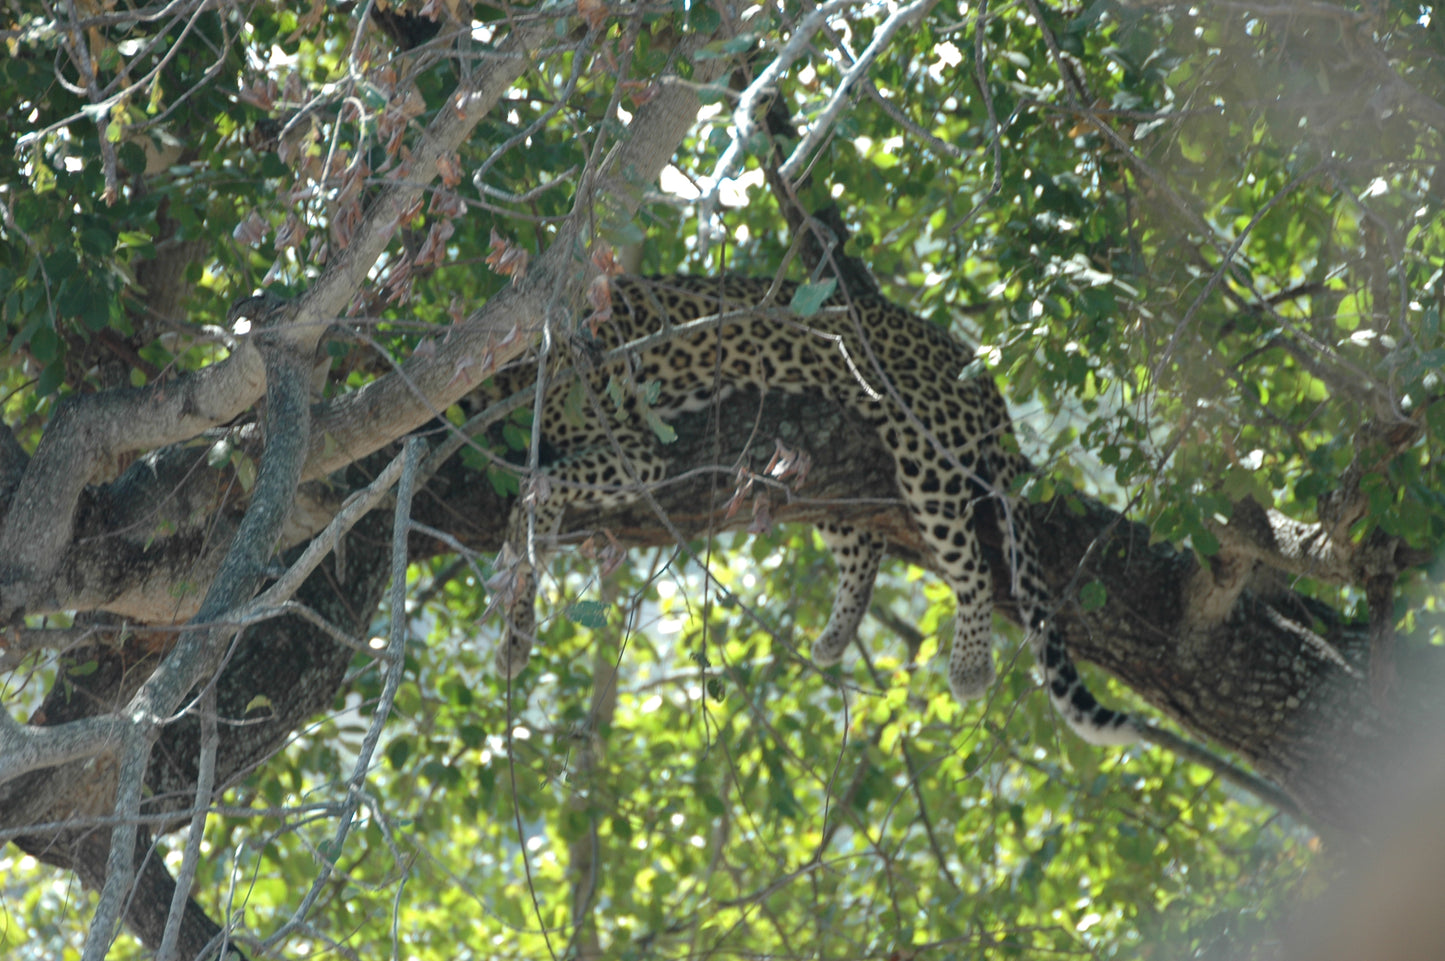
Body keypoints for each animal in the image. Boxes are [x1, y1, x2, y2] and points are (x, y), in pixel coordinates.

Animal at [485, 273, 1138, 745]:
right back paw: (834, 638)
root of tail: (970, 358)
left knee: (971, 566)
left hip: (928, 456)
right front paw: (517, 629)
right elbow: (534, 519)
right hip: (819, 474)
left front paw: (515, 609)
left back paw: (971, 667)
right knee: (865, 547)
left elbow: (538, 492)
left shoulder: (641, 456)